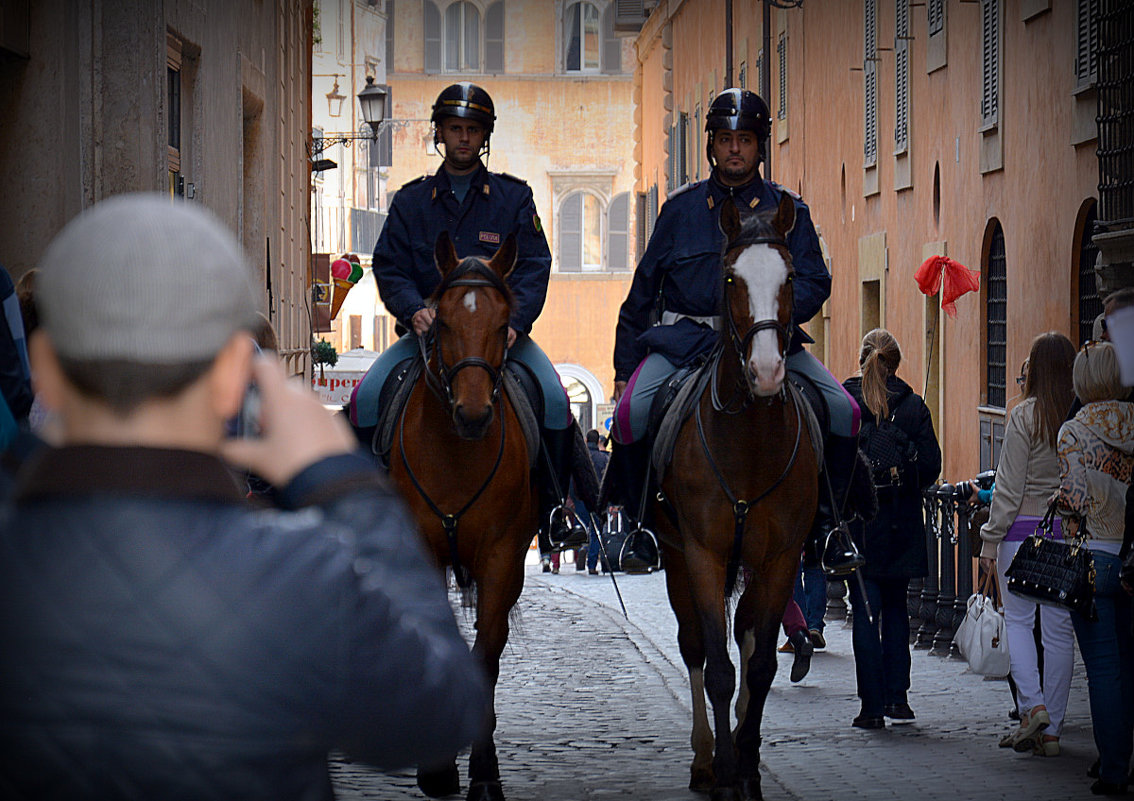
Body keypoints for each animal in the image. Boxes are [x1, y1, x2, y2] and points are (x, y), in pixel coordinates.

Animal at [394, 231, 539, 798]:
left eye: (503, 325)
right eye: (443, 323)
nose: (473, 415)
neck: (457, 454)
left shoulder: (504, 559)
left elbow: (487, 652)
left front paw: (483, 771)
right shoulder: (423, 551)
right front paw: (437, 767)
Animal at [662, 195, 821, 798]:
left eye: (792, 276)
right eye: (731, 276)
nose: (768, 370)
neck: (748, 441)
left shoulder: (781, 558)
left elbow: (759, 664)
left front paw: (750, 765)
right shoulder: (702, 554)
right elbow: (718, 667)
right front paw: (727, 770)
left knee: (749, 634)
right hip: (675, 558)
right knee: (694, 646)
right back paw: (706, 757)